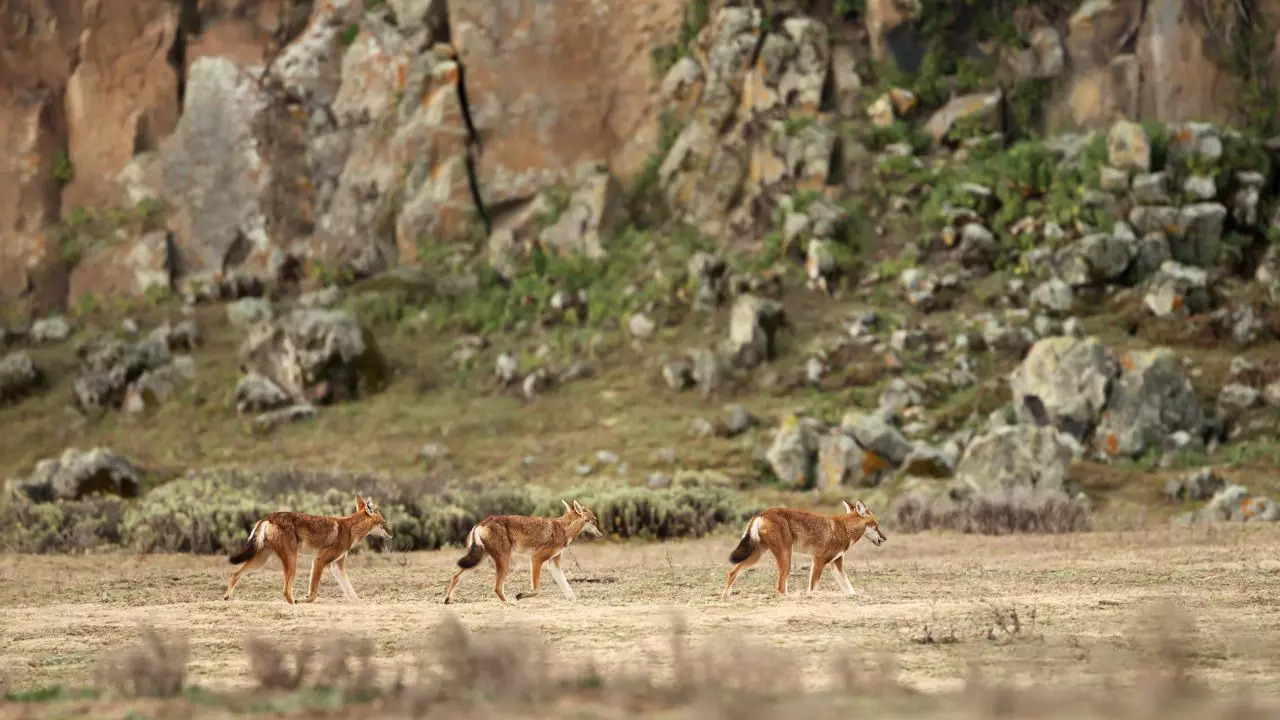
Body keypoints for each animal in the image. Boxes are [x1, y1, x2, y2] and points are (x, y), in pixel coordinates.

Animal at [225, 491, 391, 599]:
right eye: (384, 523)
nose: (392, 534)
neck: (350, 529)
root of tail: (269, 516)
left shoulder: (336, 566)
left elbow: (352, 594)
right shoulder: (319, 561)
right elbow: (313, 593)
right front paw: (306, 600)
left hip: (262, 560)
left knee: (235, 574)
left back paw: (227, 597)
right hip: (291, 560)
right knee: (286, 590)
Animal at [442, 497, 601, 602]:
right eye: (594, 520)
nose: (601, 534)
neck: (562, 529)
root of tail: (482, 522)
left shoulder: (553, 563)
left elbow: (567, 587)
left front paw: (574, 601)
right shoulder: (536, 559)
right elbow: (537, 590)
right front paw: (520, 595)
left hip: (478, 562)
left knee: (455, 577)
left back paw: (448, 600)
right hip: (505, 561)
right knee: (497, 588)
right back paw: (510, 603)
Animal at [721, 497, 890, 597]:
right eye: (876, 525)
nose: (885, 538)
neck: (844, 529)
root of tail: (761, 513)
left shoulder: (835, 566)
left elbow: (850, 590)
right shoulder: (818, 561)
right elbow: (812, 589)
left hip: (757, 557)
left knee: (732, 573)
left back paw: (725, 598)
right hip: (786, 559)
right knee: (780, 587)